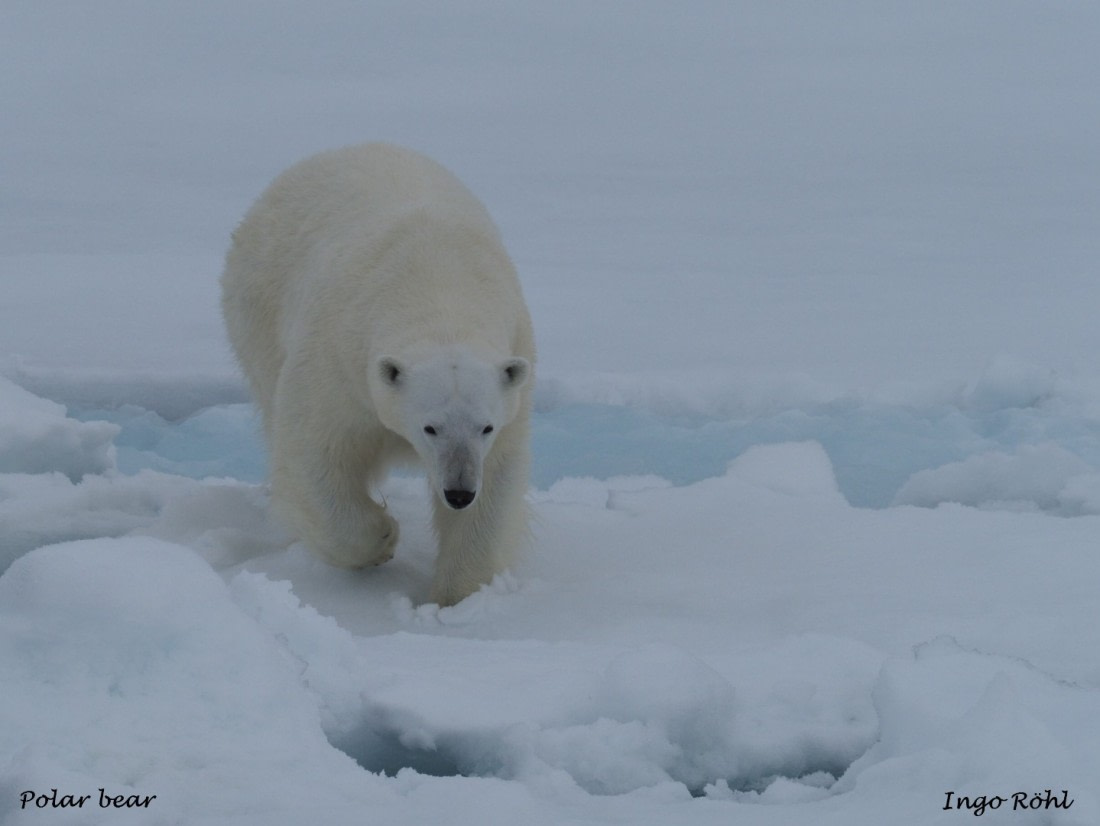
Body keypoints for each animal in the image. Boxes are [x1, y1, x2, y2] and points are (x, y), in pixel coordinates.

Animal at [221, 143, 535, 606]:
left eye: (485, 427)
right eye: (430, 427)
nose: (459, 492)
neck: (438, 287)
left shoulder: (513, 370)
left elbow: (497, 478)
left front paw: (455, 596)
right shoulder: (337, 362)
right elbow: (313, 452)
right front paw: (382, 539)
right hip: (259, 309)